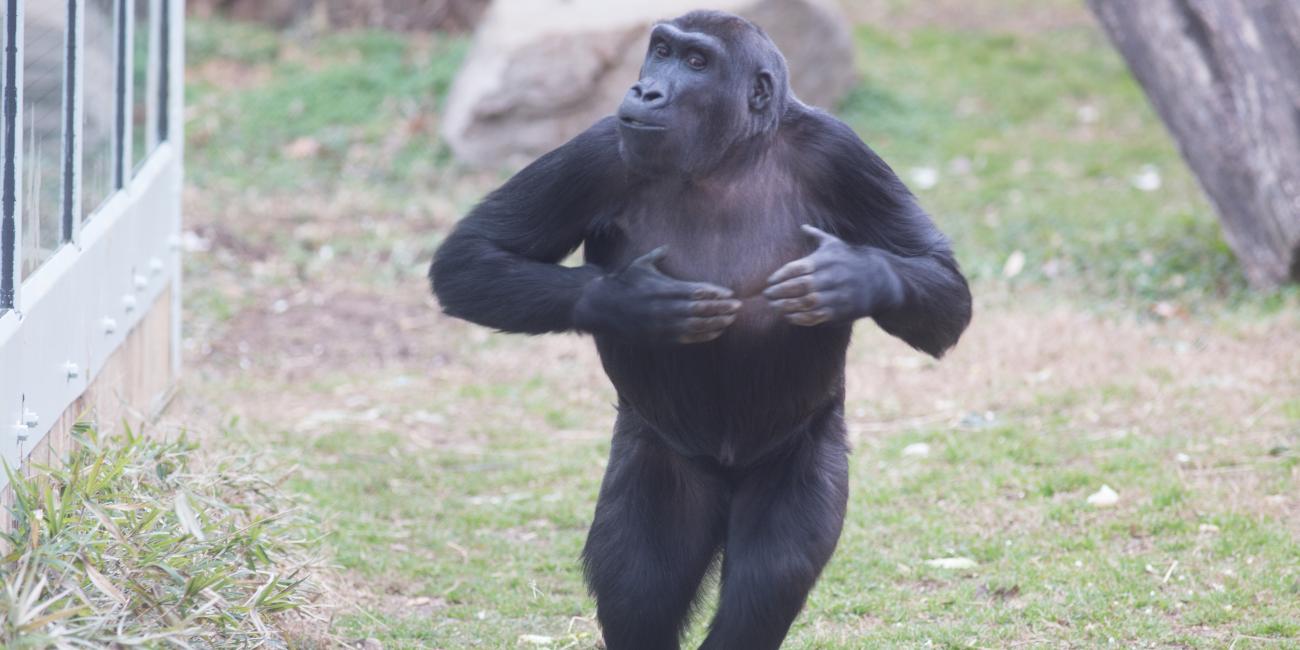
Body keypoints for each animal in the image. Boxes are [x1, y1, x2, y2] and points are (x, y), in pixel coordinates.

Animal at [431, 10, 972, 650]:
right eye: (661, 51)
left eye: (696, 63)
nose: (646, 90)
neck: (729, 158)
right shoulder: (598, 151)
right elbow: (471, 257)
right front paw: (628, 300)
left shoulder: (842, 155)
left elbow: (943, 284)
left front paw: (855, 277)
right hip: (656, 449)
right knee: (641, 582)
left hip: (801, 449)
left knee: (769, 578)